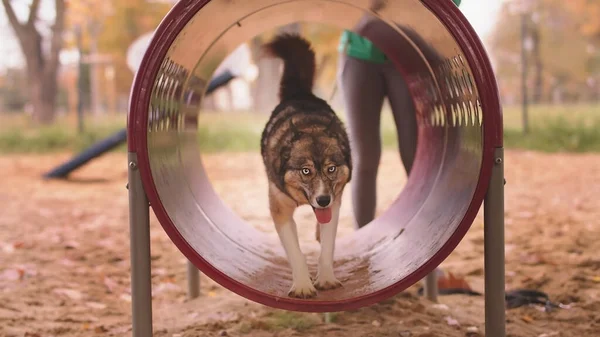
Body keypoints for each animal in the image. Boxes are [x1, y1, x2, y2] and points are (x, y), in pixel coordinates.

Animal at [258, 34, 352, 296]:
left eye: (331, 169)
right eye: (305, 171)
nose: (323, 200)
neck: (309, 126)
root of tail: (300, 93)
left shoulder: (335, 202)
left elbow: (327, 248)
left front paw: (326, 279)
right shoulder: (279, 210)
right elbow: (296, 253)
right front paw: (302, 286)